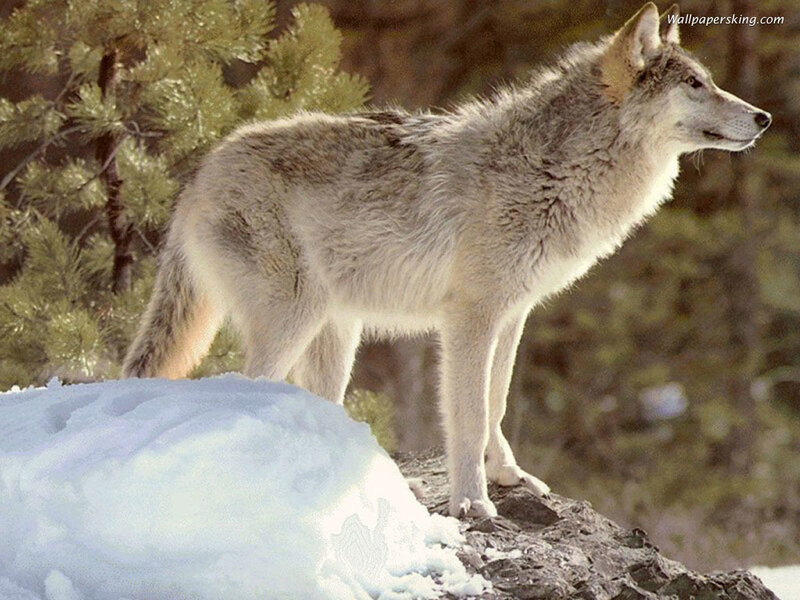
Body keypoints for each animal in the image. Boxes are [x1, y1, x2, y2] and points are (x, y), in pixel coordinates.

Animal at [124, 3, 771, 517]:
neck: (553, 168)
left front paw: (510, 477)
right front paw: (473, 503)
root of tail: (199, 175)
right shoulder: (469, 317)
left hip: (337, 334)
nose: (764, 117)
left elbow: (497, 403)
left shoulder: (513, 314)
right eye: (695, 84)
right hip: (294, 319)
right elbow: (467, 415)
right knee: (242, 388)